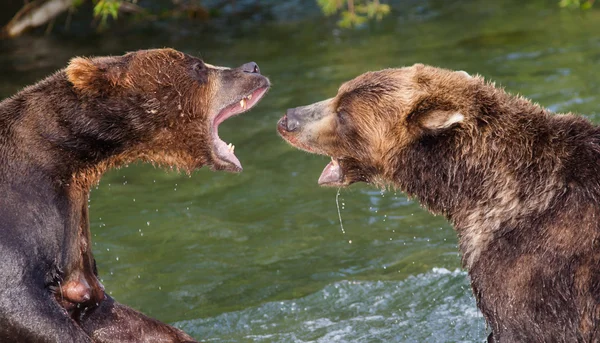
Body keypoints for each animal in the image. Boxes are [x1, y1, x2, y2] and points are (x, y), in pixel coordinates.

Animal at [0, 49, 270, 343]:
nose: (252, 67)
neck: (64, 158)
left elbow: (109, 313)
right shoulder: (22, 215)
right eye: (198, 66)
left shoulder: (73, 233)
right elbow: (23, 303)